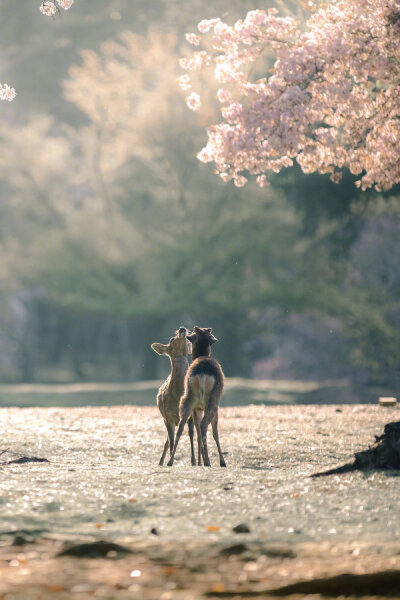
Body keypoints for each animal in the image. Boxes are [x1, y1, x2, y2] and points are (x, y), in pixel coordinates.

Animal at [151, 326, 196, 466]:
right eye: (171, 339)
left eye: (188, 341)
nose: (182, 328)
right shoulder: (167, 417)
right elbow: (171, 440)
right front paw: (169, 461)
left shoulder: (190, 416)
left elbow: (191, 435)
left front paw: (194, 461)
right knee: (167, 441)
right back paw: (160, 462)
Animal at [167, 328, 227, 468]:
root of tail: (201, 375)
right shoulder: (214, 405)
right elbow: (215, 432)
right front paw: (221, 462)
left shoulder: (197, 408)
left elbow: (197, 432)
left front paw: (200, 462)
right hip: (212, 401)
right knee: (204, 425)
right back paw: (210, 462)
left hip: (188, 399)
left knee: (181, 427)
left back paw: (170, 461)